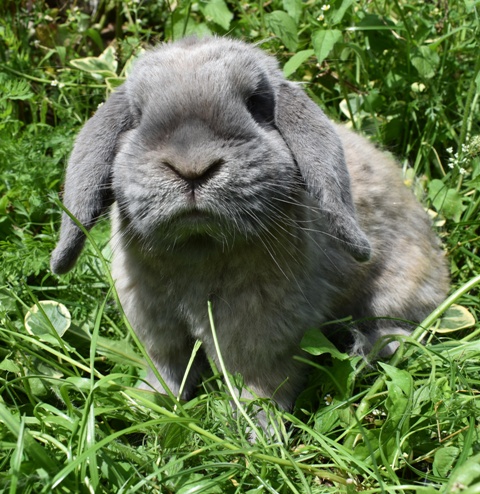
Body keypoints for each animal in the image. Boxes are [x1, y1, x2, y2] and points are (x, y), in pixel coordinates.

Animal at [51, 36, 449, 413]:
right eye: (137, 115)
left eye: (256, 103)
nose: (192, 167)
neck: (199, 245)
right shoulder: (159, 332)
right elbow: (167, 371)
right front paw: (149, 405)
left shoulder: (260, 343)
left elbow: (257, 389)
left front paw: (260, 432)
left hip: (393, 291)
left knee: (403, 327)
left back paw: (368, 349)